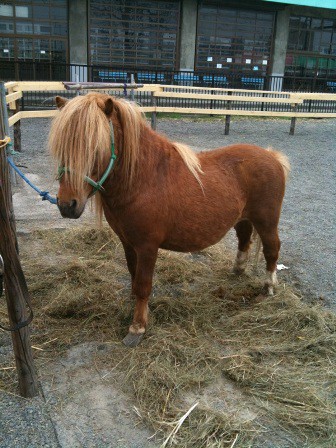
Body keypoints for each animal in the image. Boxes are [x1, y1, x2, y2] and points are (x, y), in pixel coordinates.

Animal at [48, 93, 290, 348]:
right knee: (244, 240)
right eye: (61, 147)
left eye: (96, 147)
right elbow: (133, 275)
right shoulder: (128, 243)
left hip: (267, 222)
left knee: (272, 250)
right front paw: (135, 305)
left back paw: (268, 288)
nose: (67, 205)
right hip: (243, 218)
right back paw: (237, 270)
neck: (142, 179)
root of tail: (271, 156)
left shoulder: (147, 247)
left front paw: (137, 327)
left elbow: (144, 283)